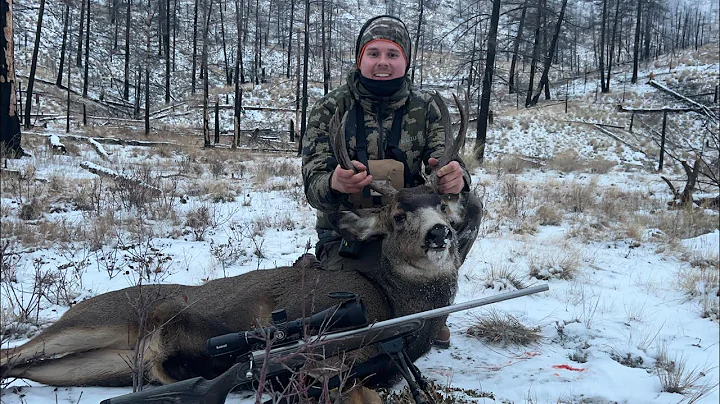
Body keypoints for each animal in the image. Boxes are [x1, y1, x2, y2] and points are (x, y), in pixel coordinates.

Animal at [0, 93, 482, 402]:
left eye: (442, 204)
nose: (440, 233)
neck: (392, 304)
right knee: (16, 351)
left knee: (25, 367)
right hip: (97, 317)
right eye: (398, 215)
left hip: (108, 362)